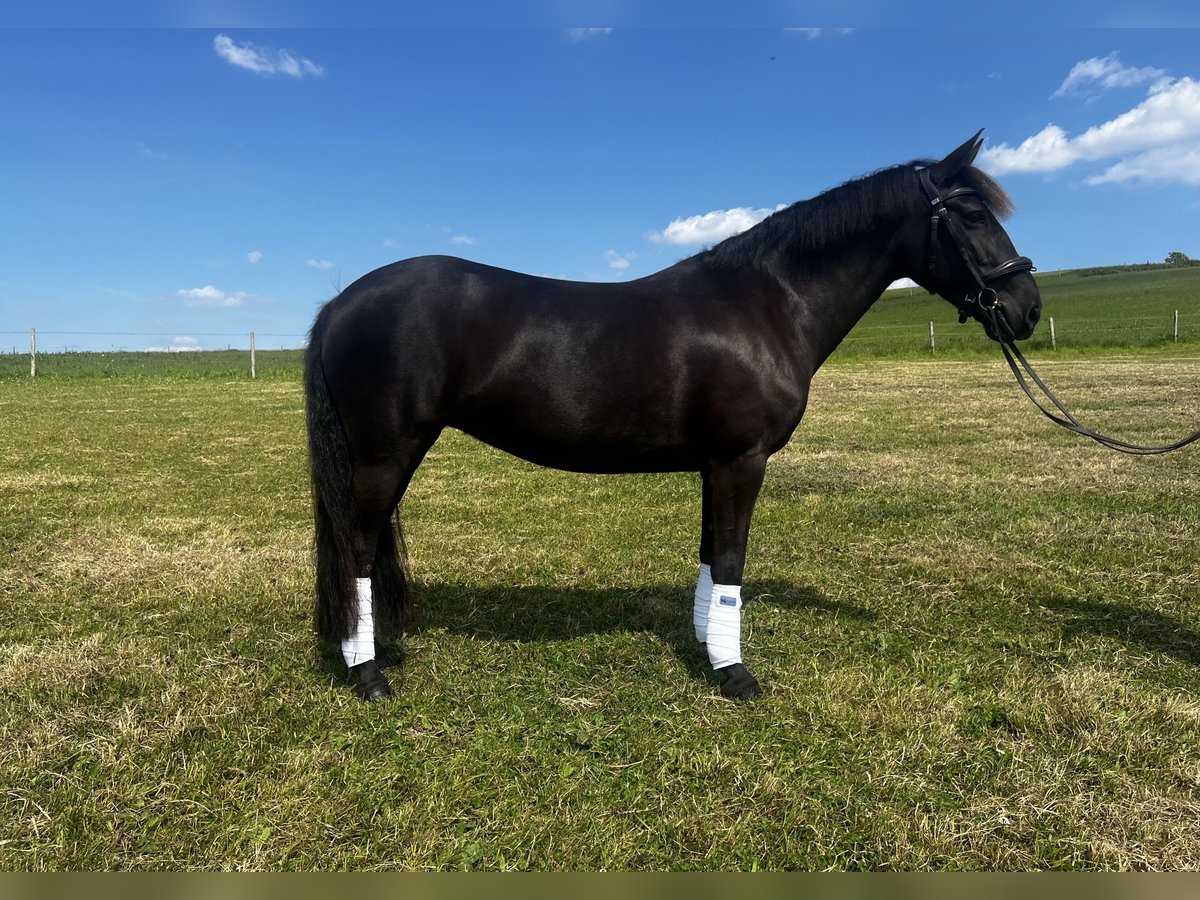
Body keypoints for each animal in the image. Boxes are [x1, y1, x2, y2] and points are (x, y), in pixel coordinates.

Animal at [307, 132, 1041, 705]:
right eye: (971, 214)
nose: (1026, 307)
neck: (766, 304)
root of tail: (341, 302)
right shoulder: (742, 459)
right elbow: (734, 560)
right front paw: (737, 675)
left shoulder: (716, 464)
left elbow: (712, 556)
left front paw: (708, 650)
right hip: (386, 452)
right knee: (357, 548)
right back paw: (368, 675)